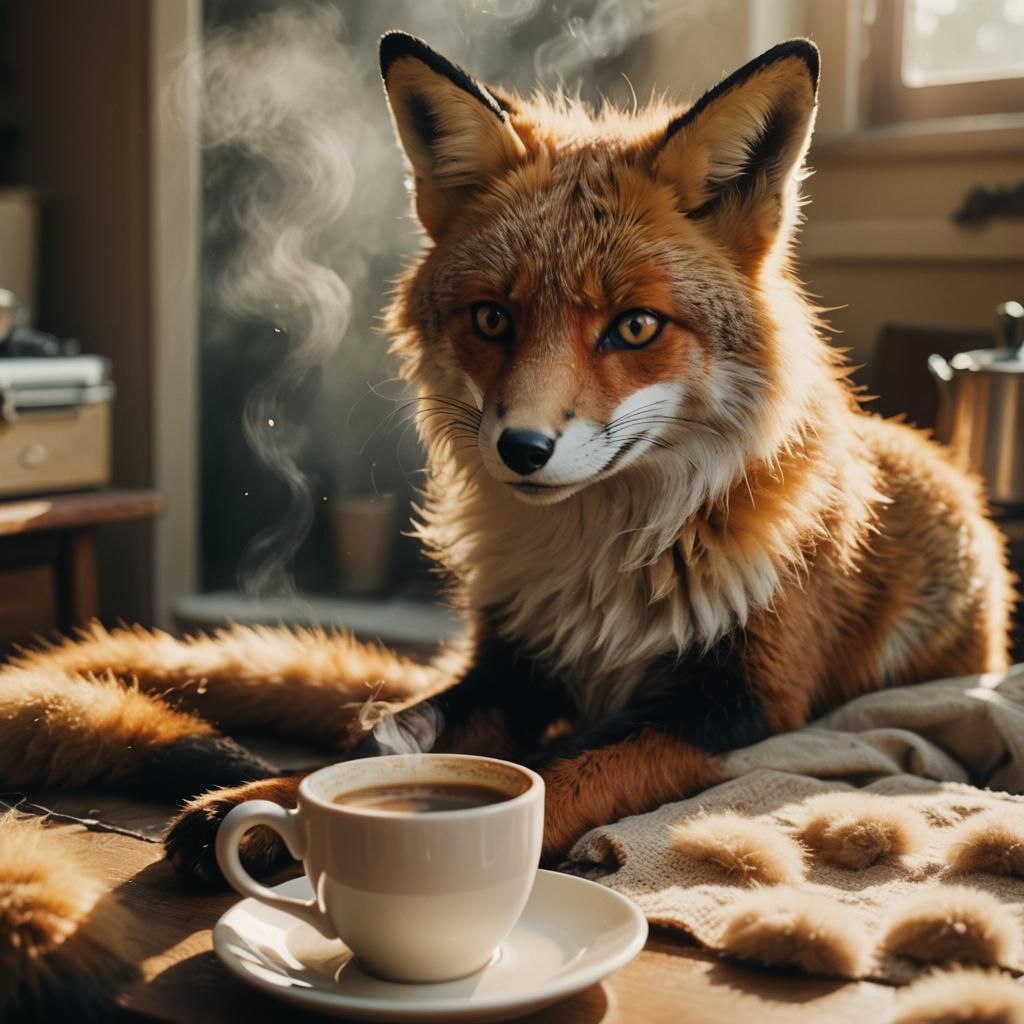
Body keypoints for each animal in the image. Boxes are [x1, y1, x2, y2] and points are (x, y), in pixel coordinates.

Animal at [0, 31, 1013, 1018]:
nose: (521, 449)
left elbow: (558, 769)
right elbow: (390, 752)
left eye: (634, 326)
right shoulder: (512, 664)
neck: (602, 567)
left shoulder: (735, 704)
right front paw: (272, 803)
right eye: (492, 318)